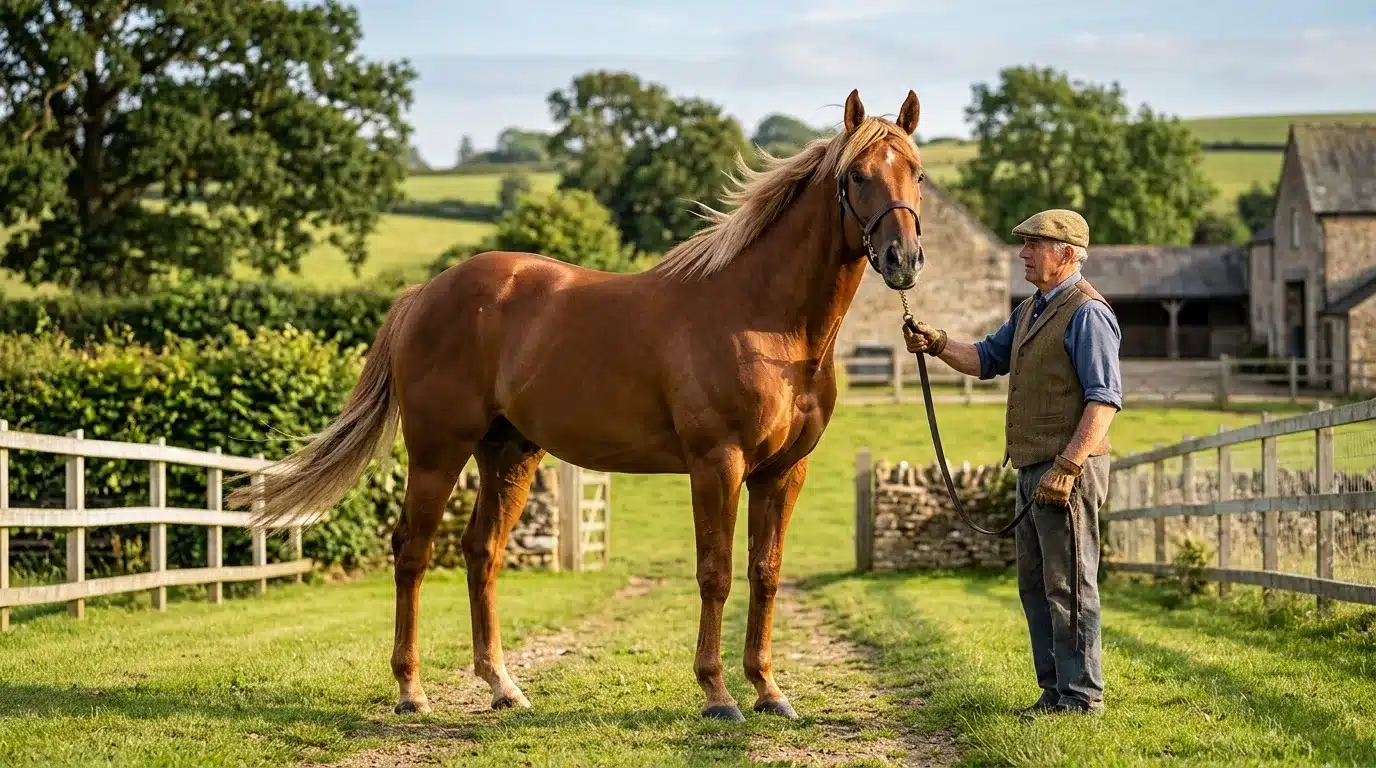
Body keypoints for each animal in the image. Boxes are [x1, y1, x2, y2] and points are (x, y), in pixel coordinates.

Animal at [230, 88, 927, 722]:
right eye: (857, 176)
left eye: (917, 172)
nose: (904, 259)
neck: (764, 317)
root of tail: (426, 292)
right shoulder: (717, 464)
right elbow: (716, 573)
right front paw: (718, 695)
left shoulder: (783, 472)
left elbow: (766, 572)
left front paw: (769, 691)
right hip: (437, 454)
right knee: (413, 551)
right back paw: (411, 690)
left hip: (509, 454)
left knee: (481, 552)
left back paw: (503, 687)